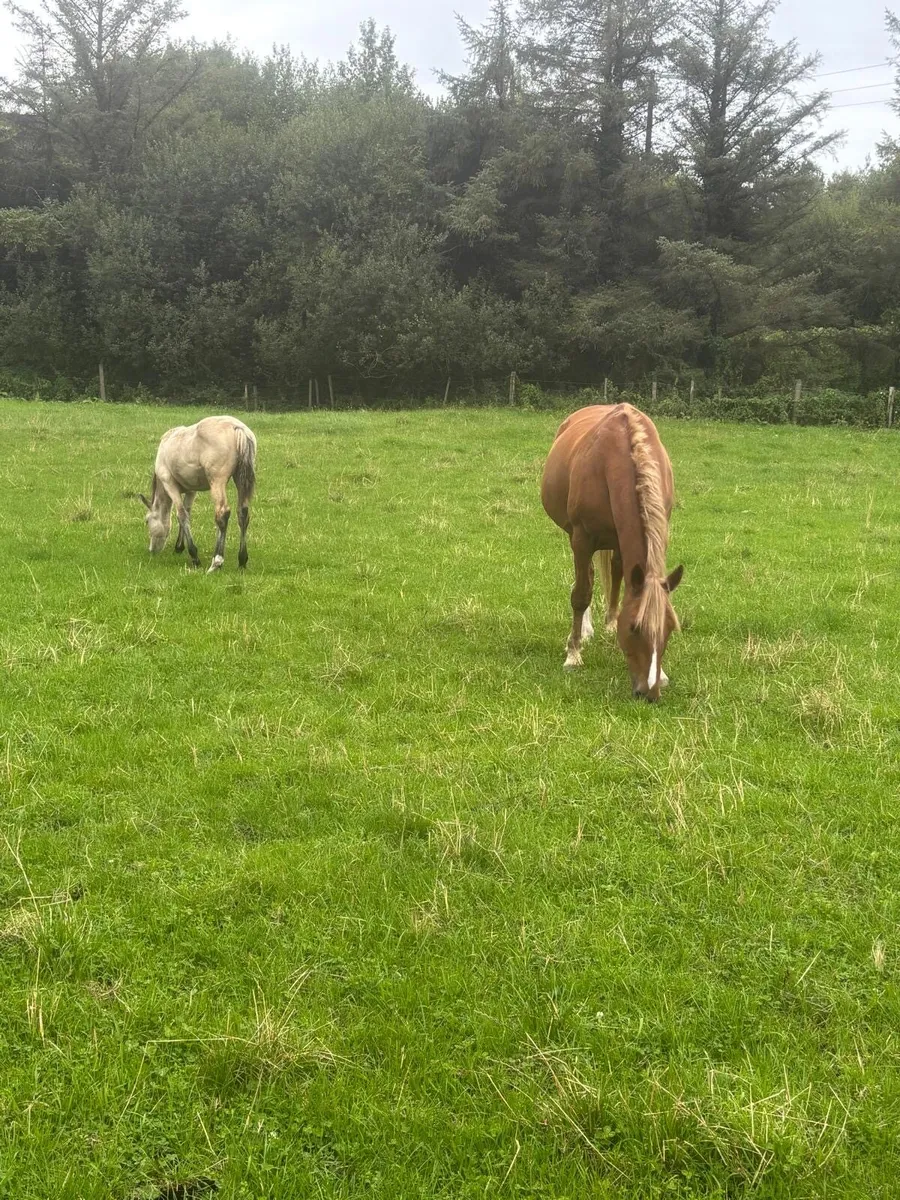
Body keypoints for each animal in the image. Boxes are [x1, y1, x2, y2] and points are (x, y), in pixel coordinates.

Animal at [139, 415, 257, 573]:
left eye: (147, 521)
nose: (152, 550)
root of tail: (236, 427)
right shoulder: (191, 490)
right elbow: (187, 513)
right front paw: (179, 547)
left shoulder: (169, 484)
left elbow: (181, 515)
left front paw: (194, 556)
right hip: (240, 480)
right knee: (242, 513)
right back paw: (242, 560)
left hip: (217, 482)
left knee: (222, 513)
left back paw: (216, 561)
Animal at [541, 404, 683, 701]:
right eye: (634, 628)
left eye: (669, 629)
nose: (650, 693)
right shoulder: (582, 538)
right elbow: (581, 594)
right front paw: (573, 654)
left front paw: (663, 673)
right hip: (577, 537)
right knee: (587, 578)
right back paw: (585, 631)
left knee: (616, 571)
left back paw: (608, 622)